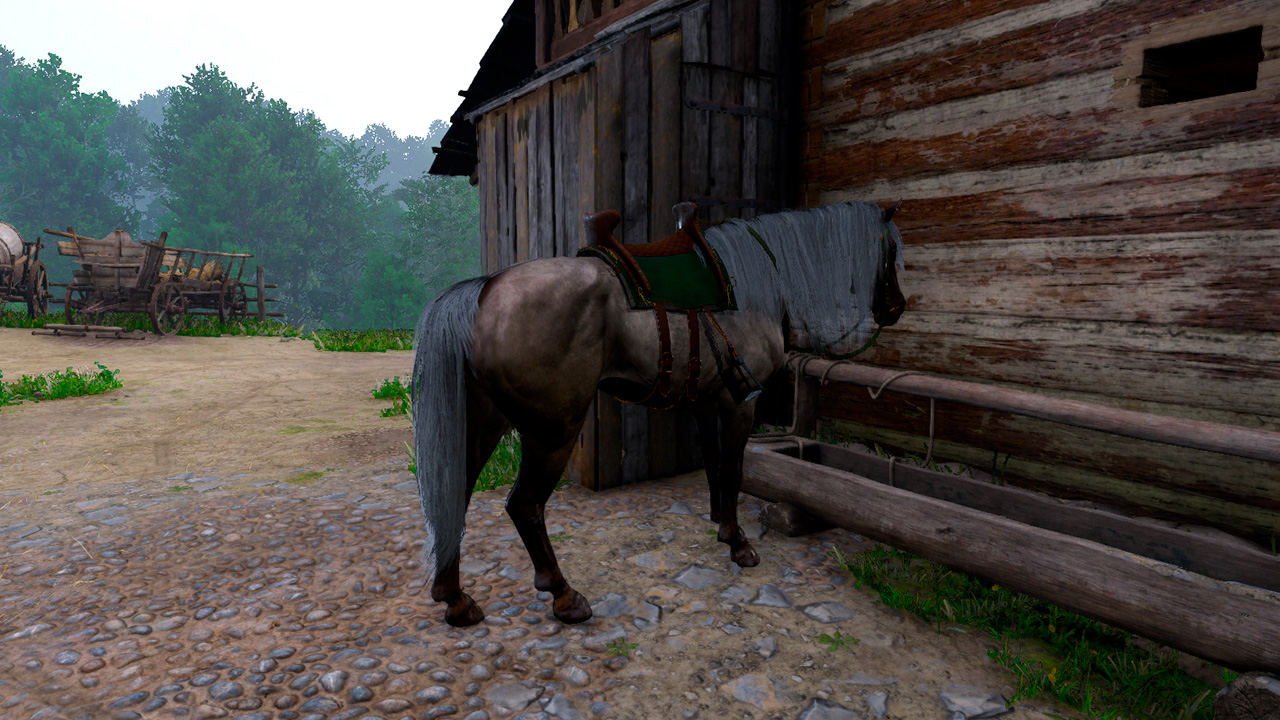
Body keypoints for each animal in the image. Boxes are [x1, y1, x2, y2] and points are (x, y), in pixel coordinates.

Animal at [412, 200, 906, 627]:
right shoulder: (740, 405)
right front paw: (741, 546)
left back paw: (455, 600)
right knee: (525, 505)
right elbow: (734, 470)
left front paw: (721, 525)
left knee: (457, 491)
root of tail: (486, 289)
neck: (755, 284)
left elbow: (713, 465)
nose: (897, 307)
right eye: (893, 252)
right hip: (554, 431)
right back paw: (564, 596)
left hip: (485, 423)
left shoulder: (707, 402)